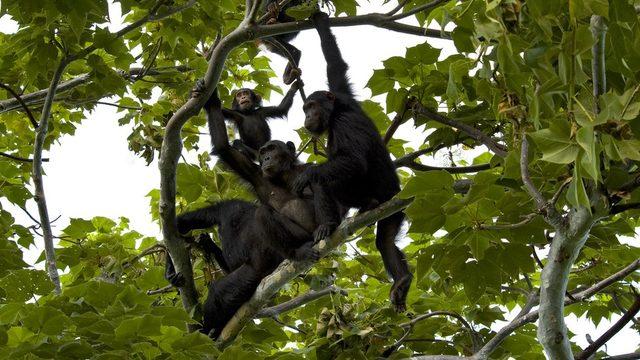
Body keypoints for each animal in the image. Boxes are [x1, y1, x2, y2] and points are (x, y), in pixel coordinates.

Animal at [292, 11, 412, 312]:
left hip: (380, 199)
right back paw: (402, 279)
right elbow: (336, 65)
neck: (337, 112)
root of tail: (396, 197)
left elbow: (354, 161)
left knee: (325, 181)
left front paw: (306, 175)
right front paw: (319, 21)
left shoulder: (346, 123)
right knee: (386, 240)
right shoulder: (343, 91)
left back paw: (332, 221)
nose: (306, 116)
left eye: (311, 106)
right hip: (393, 214)